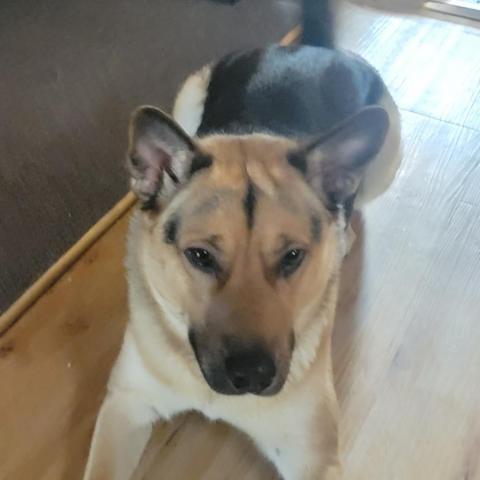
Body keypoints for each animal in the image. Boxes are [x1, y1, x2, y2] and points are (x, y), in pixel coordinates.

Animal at [81, 1, 402, 478]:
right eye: (200, 256)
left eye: (292, 256)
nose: (252, 376)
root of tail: (310, 48)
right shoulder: (125, 406)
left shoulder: (312, 455)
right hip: (188, 94)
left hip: (386, 160)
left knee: (352, 207)